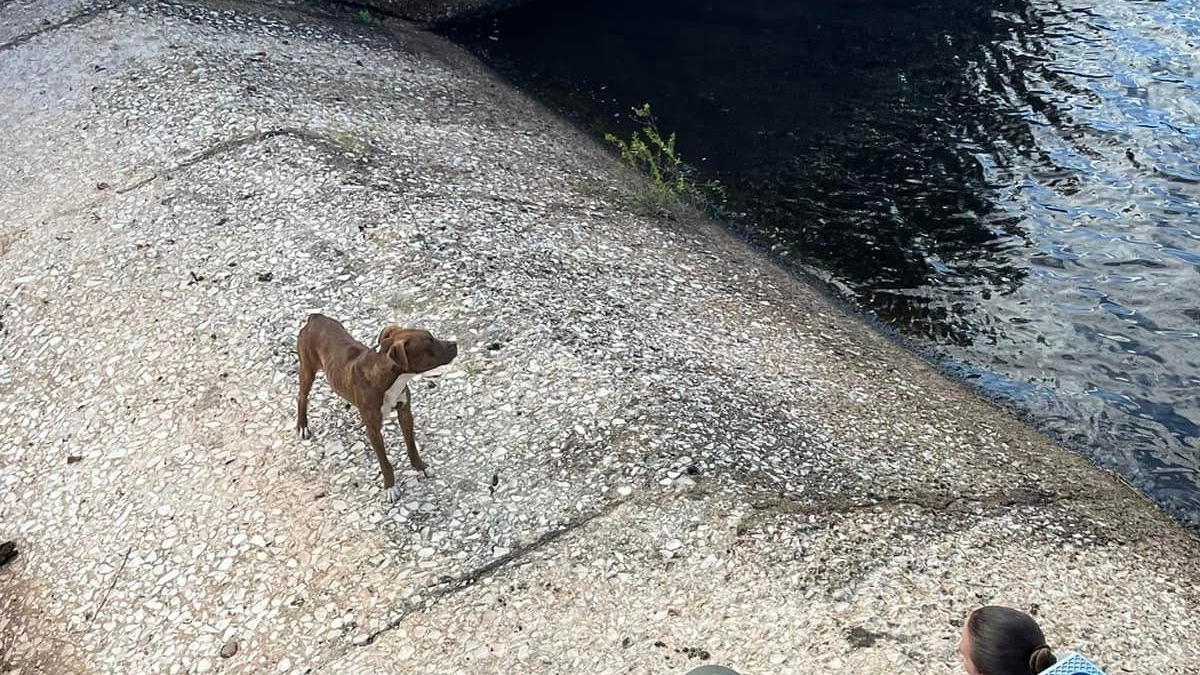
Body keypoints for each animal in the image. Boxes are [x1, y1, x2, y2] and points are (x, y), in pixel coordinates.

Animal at [294, 312, 453, 499]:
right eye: (429, 343)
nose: (455, 344)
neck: (391, 378)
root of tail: (316, 317)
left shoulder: (405, 413)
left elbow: (412, 446)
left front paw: (420, 467)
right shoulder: (373, 429)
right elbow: (384, 462)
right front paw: (390, 487)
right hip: (307, 369)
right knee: (301, 397)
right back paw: (303, 426)